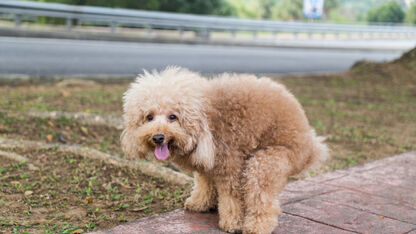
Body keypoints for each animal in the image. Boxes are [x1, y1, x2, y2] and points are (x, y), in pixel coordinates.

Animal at [120, 66, 328, 234]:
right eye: (149, 117)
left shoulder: (230, 164)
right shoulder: (207, 165)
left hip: (268, 160)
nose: (158, 137)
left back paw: (256, 226)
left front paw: (232, 223)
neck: (206, 117)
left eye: (173, 117)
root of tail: (311, 146)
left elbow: (231, 197)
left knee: (260, 195)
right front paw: (199, 203)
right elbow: (205, 184)